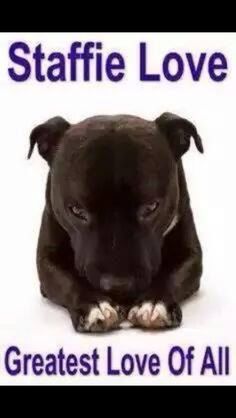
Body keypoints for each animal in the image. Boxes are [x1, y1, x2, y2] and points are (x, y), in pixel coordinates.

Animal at [28, 112, 203, 334]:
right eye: (77, 211)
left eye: (151, 207)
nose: (119, 286)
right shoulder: (46, 259)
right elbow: (68, 281)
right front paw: (95, 305)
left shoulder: (191, 255)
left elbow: (172, 276)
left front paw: (154, 303)